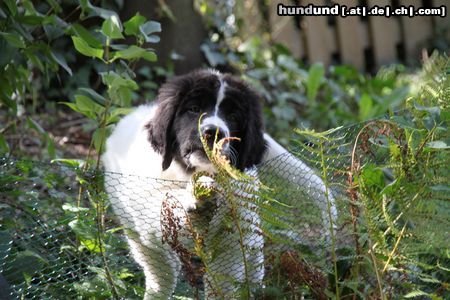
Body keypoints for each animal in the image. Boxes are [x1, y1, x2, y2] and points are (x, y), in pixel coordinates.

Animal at [101, 69, 334, 298]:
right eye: (194, 109)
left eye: (232, 116)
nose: (213, 132)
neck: (191, 172)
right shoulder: (146, 199)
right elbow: (165, 206)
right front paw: (194, 199)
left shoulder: (230, 241)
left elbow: (222, 283)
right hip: (137, 235)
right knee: (161, 271)